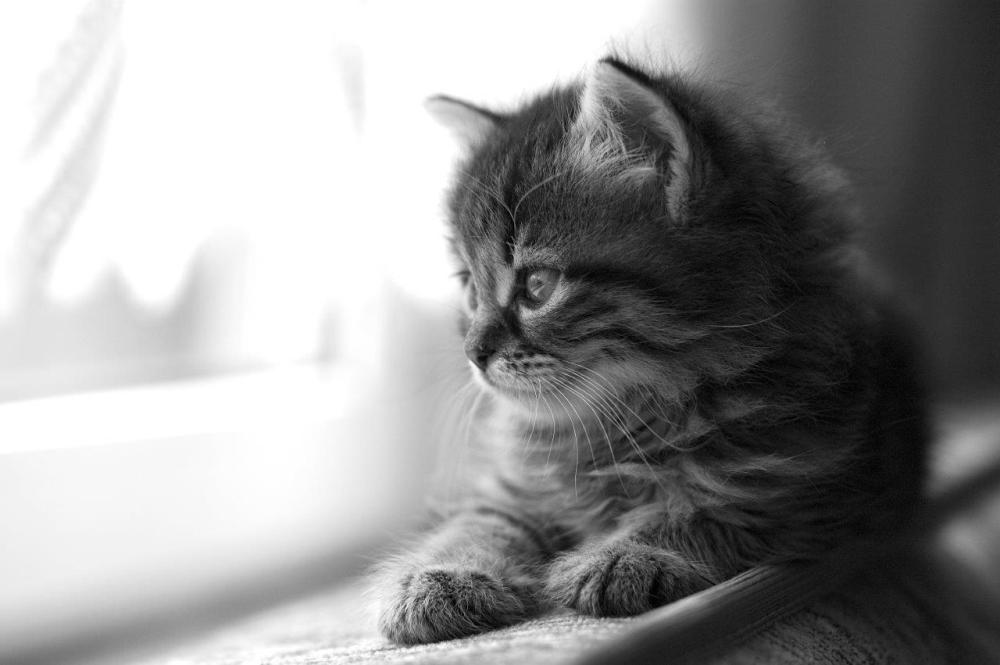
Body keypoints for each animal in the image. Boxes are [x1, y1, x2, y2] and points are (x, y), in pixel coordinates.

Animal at [376, 55, 928, 644]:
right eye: (469, 289)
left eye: (538, 286)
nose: (474, 353)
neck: (618, 421)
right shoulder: (509, 492)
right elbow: (480, 526)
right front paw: (440, 576)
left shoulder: (797, 487)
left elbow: (696, 510)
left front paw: (626, 555)